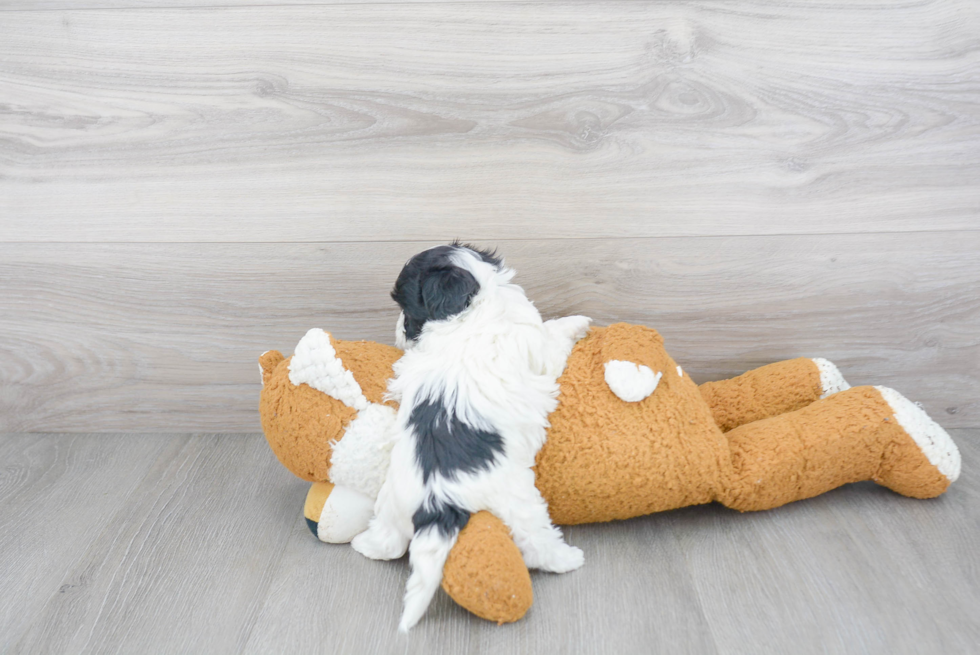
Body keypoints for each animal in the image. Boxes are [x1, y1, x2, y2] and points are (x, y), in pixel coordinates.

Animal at [356, 243, 592, 632]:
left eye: (407, 311)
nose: (399, 333)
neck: (473, 306)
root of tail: (436, 500)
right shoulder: (539, 349)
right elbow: (552, 335)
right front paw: (577, 323)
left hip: (392, 503)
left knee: (390, 543)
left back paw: (364, 545)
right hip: (519, 501)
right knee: (535, 541)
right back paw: (567, 559)